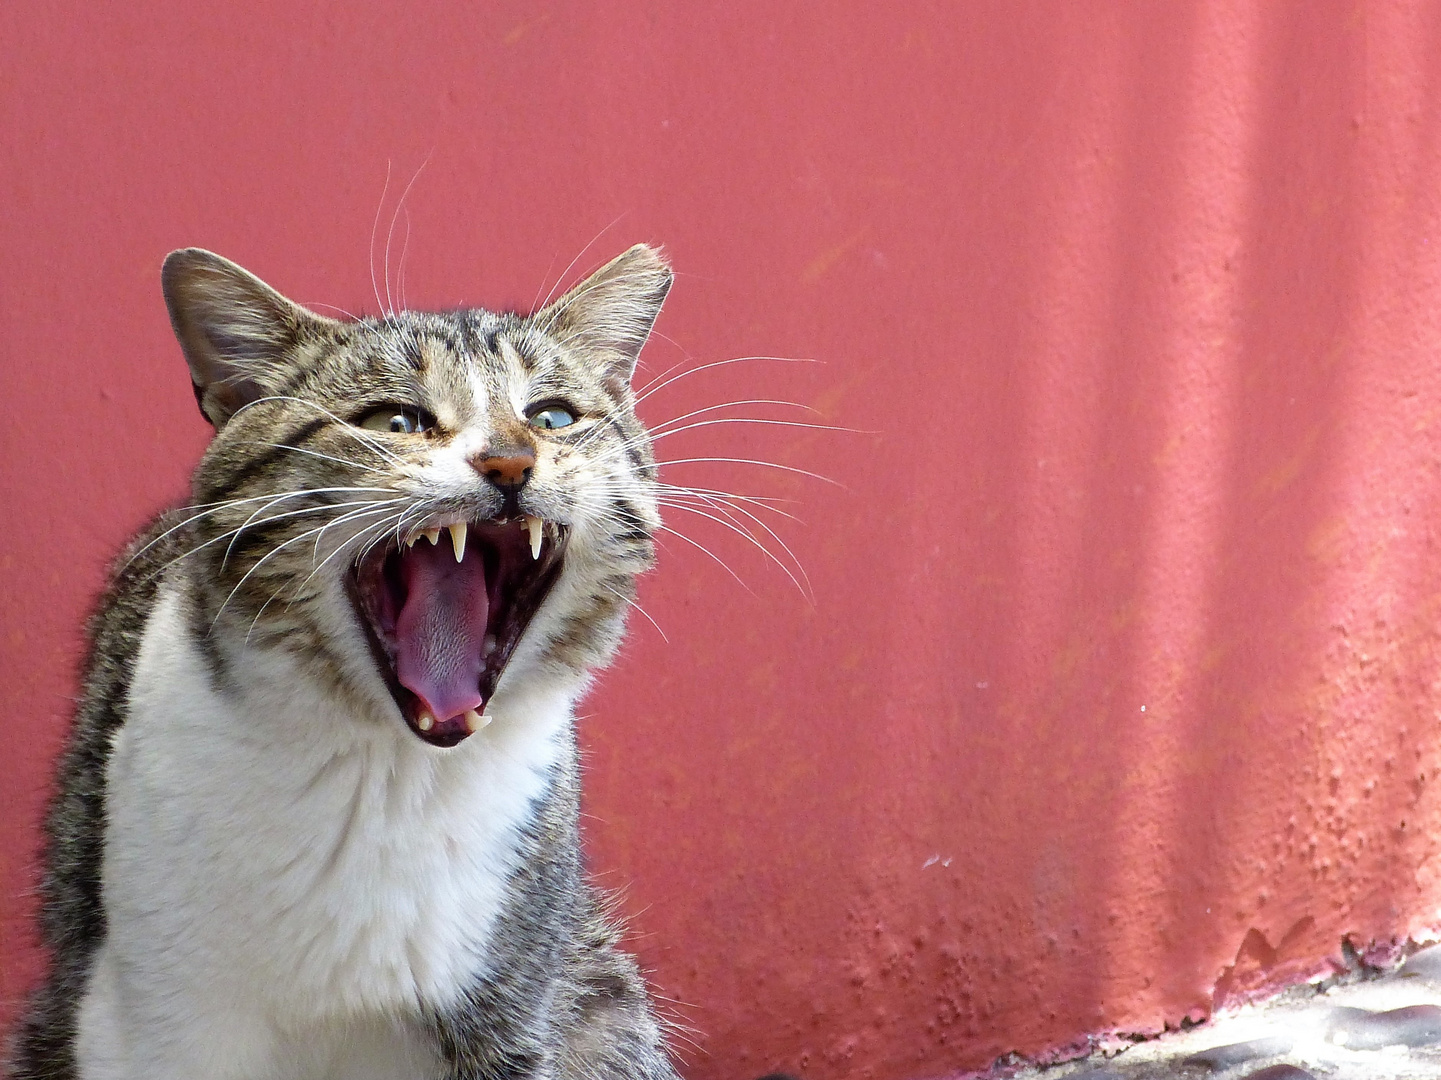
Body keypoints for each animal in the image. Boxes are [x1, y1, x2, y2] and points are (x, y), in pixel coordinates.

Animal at [7, 246, 680, 1078]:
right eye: (397, 421)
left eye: (552, 417)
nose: (509, 461)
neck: (388, 775)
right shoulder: (153, 1022)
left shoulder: (514, 1015)